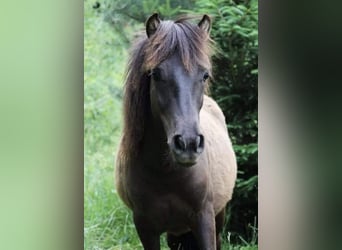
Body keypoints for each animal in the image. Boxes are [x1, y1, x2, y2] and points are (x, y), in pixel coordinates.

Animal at [116, 14, 236, 250]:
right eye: (156, 74)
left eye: (205, 75)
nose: (188, 144)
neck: (166, 173)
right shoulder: (145, 228)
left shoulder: (204, 220)